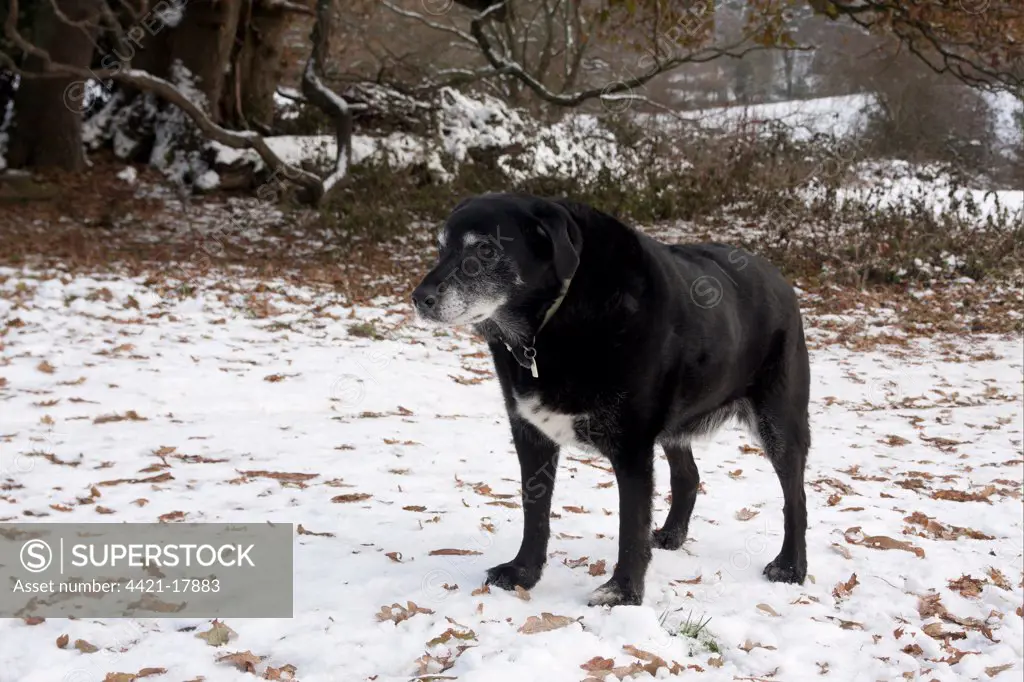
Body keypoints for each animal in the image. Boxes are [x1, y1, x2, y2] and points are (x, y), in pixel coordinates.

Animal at [411, 192, 811, 606]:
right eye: (440, 248)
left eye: (486, 249)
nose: (419, 298)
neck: (551, 324)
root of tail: (779, 277)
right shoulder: (530, 435)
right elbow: (534, 512)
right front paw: (524, 572)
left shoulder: (632, 447)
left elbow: (631, 527)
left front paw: (623, 592)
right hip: (677, 426)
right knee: (688, 476)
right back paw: (672, 534)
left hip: (779, 422)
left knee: (795, 497)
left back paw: (791, 566)